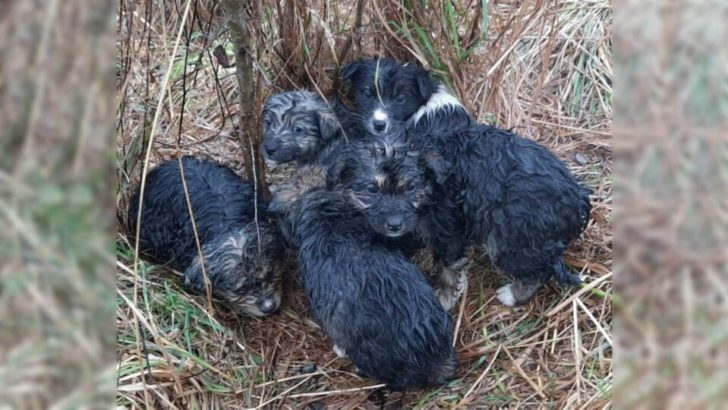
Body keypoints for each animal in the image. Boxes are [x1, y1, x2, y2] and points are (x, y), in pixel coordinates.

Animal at [342, 56, 592, 308]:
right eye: (366, 93)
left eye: (400, 98)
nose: (379, 124)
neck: (428, 110)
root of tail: (578, 198)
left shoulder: (447, 223)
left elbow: (448, 265)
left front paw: (445, 297)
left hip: (512, 239)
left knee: (541, 270)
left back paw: (512, 295)